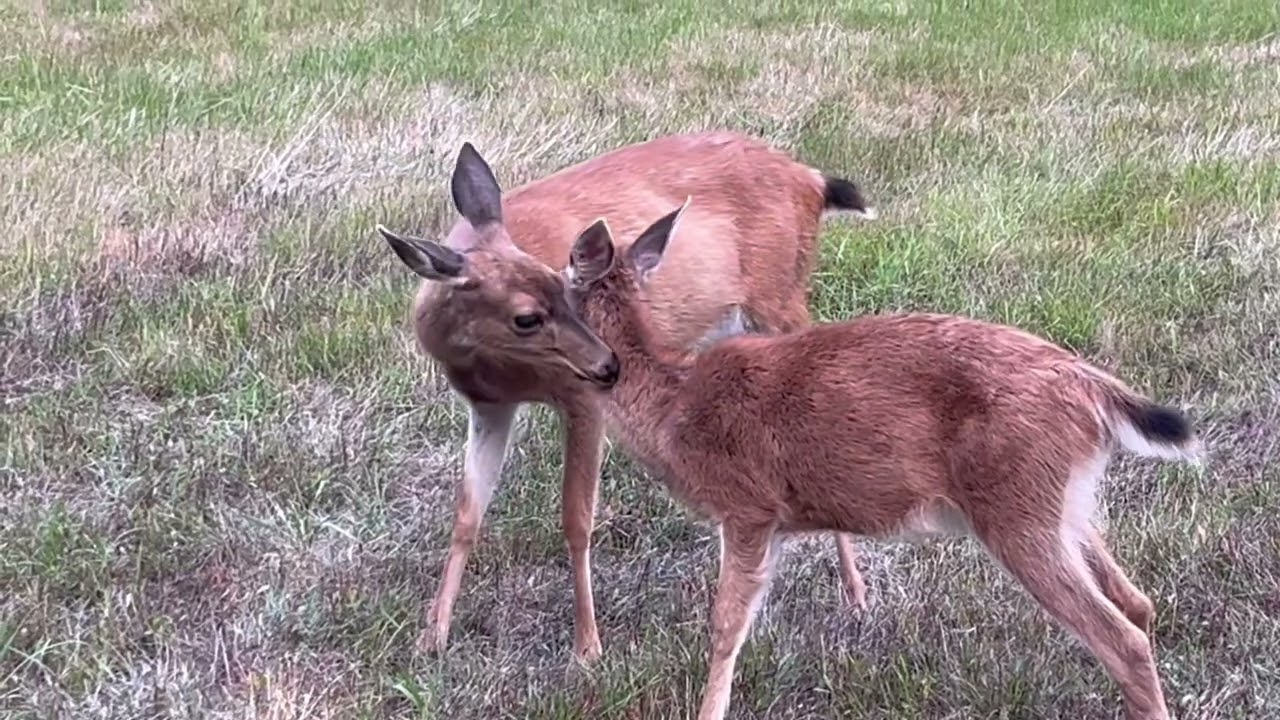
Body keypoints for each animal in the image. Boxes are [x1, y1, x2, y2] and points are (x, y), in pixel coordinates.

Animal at [374, 131, 878, 662]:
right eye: (527, 317)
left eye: (563, 287)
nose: (609, 364)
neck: (499, 372)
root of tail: (811, 178)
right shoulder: (489, 406)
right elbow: (466, 515)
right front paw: (432, 636)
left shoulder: (581, 397)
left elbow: (576, 520)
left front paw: (587, 647)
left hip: (780, 300)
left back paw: (857, 594)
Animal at [560, 198, 1203, 720]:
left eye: (558, 290)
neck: (674, 406)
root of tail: (1095, 390)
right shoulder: (776, 519)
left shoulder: (748, 506)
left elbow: (724, 627)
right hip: (1060, 503)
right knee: (1138, 604)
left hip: (1017, 509)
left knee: (1122, 638)